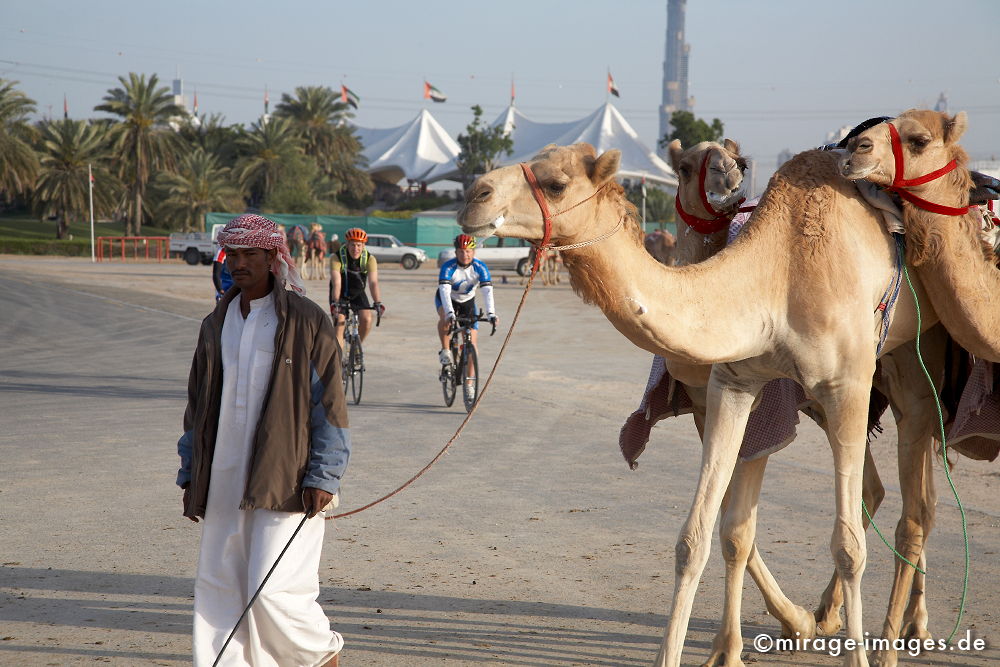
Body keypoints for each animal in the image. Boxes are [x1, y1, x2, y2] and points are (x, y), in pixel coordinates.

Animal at [458, 142, 940, 667]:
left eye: (556, 184)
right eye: (684, 167)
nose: (475, 195)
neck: (777, 279)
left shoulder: (837, 388)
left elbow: (832, 545)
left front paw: (770, 634)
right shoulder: (726, 390)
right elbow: (709, 535)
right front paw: (731, 645)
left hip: (910, 377)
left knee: (913, 509)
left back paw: (896, 634)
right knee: (889, 494)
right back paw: (851, 618)